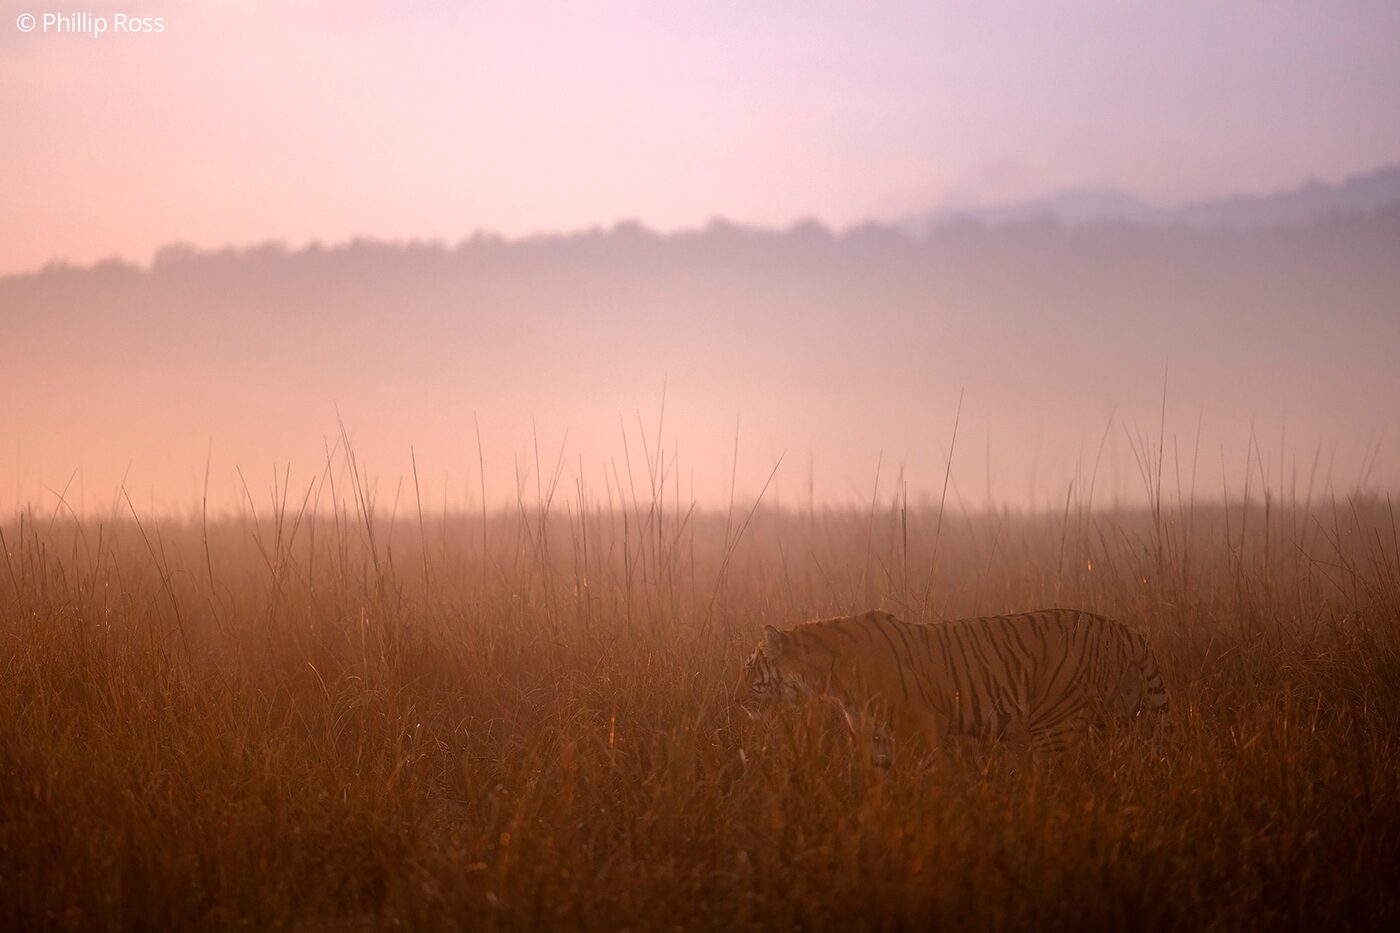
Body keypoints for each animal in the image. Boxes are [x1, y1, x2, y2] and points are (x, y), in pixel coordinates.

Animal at [735, 608, 1167, 763]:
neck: (829, 681)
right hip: (1118, 719)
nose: (736, 701)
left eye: (750, 668)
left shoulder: (916, 731)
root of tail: (1121, 628)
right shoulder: (875, 738)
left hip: (1055, 725)